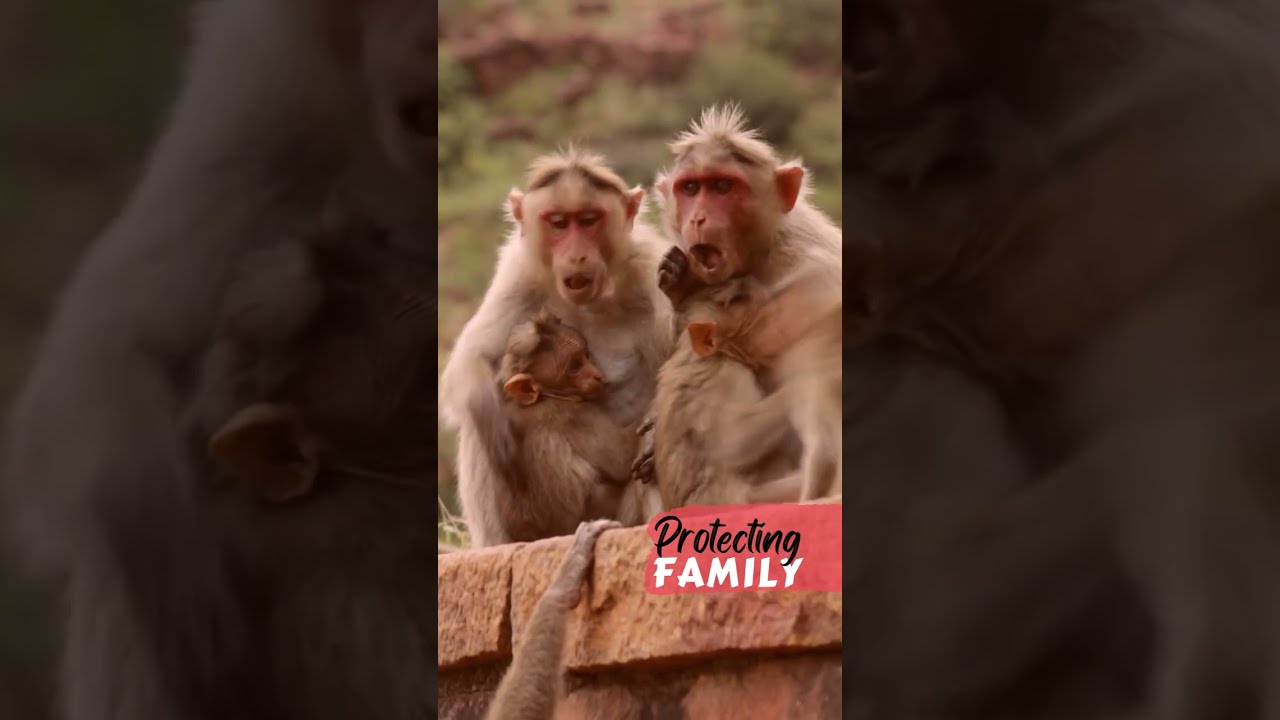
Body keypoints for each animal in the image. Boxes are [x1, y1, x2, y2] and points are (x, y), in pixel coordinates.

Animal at [465, 309, 647, 541]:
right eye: (575, 367)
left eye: (586, 355)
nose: (598, 375)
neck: (546, 396)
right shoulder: (576, 414)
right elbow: (623, 460)